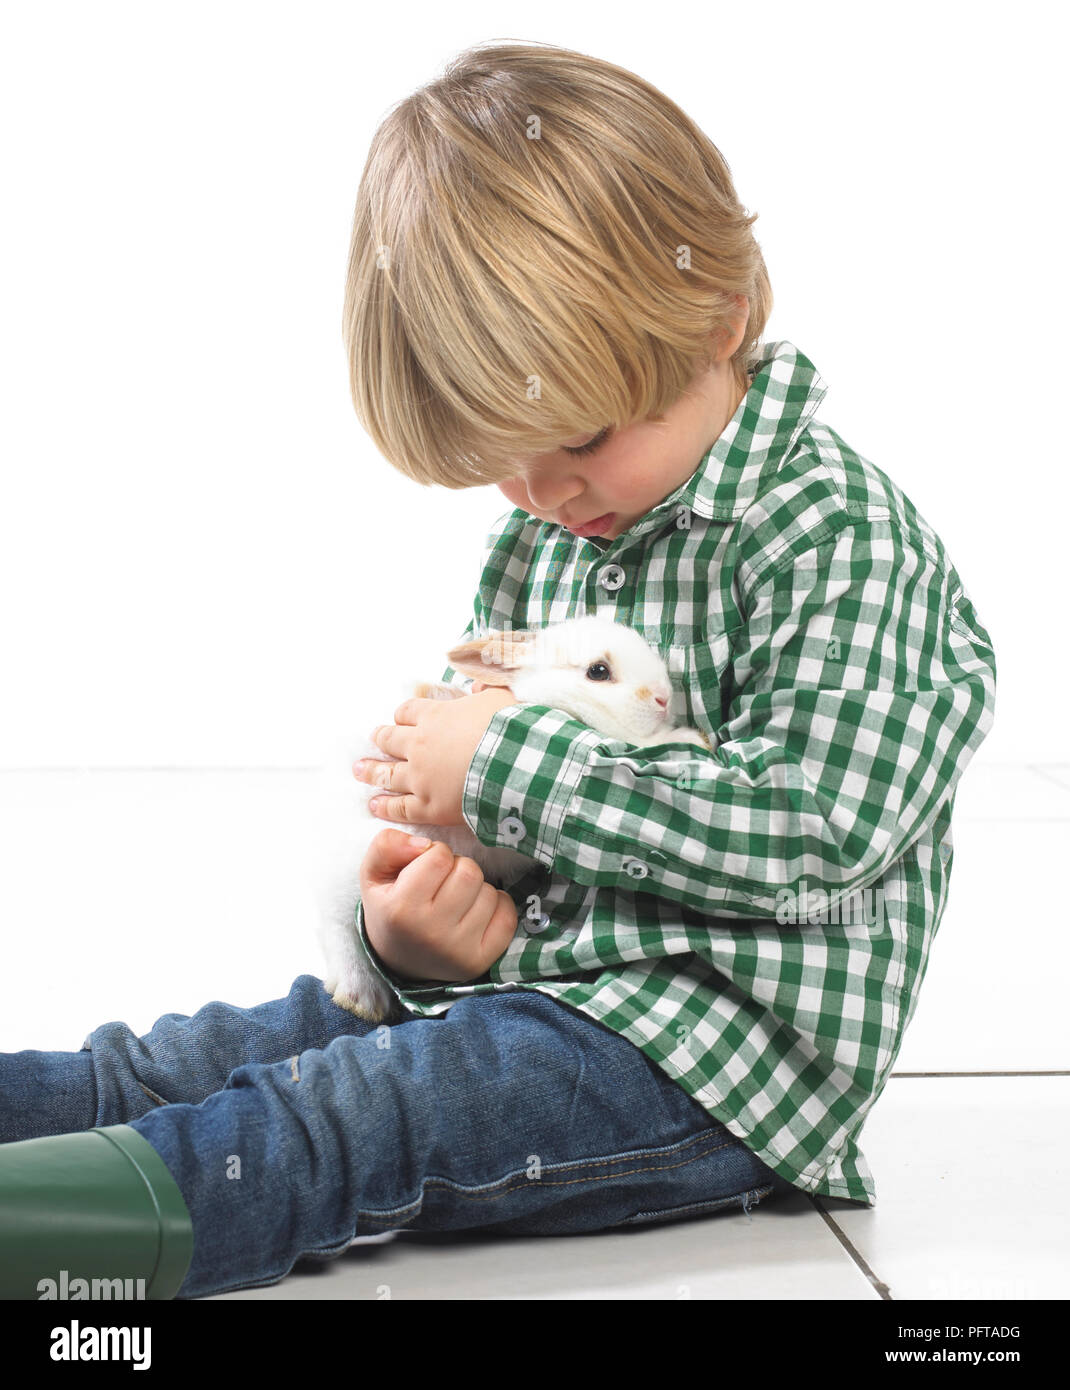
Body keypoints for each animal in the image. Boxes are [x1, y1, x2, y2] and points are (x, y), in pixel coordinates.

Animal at [312, 617, 705, 1023]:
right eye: (599, 671)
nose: (663, 698)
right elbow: (632, 746)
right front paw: (691, 738)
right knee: (337, 921)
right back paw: (360, 995)